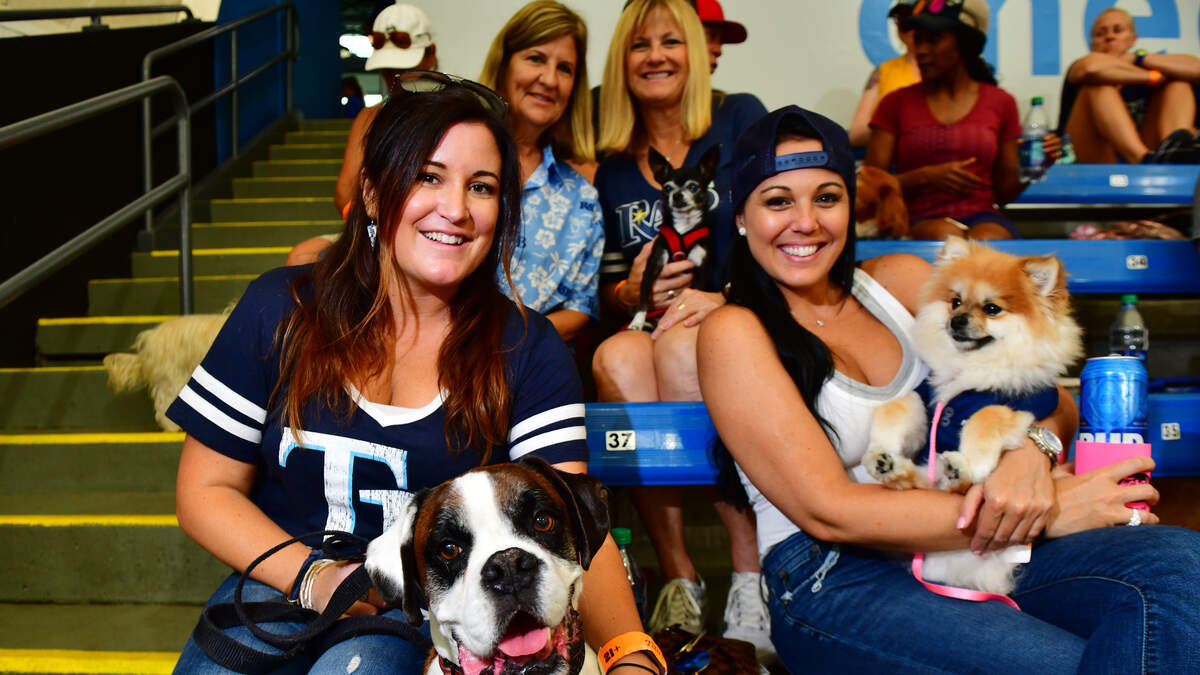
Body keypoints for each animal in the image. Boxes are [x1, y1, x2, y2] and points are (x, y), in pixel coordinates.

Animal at [628, 144, 720, 331]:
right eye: (667, 188)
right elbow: (643, 298)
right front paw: (637, 321)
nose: (677, 195)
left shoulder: (700, 267)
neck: (683, 228)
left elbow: (698, 290)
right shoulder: (652, 266)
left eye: (693, 187)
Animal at [859, 237, 1084, 593]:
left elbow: (985, 417)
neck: (969, 370)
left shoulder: (1021, 406)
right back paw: (894, 469)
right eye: (955, 302)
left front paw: (972, 463)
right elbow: (898, 406)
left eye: (992, 308)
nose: (957, 320)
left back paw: (957, 469)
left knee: (955, 487)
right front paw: (879, 450)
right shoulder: (929, 402)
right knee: (927, 484)